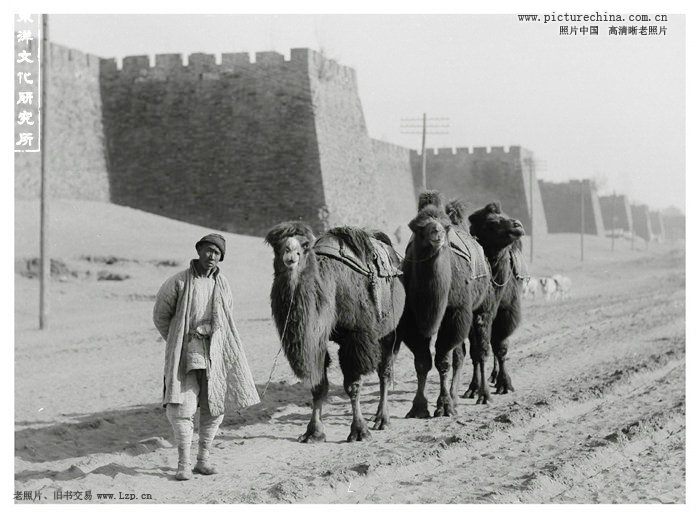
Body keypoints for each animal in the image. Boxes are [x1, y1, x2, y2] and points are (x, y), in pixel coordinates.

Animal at [264, 220, 404, 442]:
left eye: (305, 246)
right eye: (277, 245)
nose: (290, 254)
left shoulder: (355, 338)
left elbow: (352, 385)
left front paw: (359, 431)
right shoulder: (317, 340)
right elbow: (318, 386)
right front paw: (313, 432)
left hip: (390, 330)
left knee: (385, 371)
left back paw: (383, 419)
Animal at [396, 189, 494, 416]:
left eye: (445, 225)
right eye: (417, 226)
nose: (437, 233)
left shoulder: (455, 313)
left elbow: (443, 360)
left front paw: (444, 406)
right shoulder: (411, 319)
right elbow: (422, 362)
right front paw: (418, 407)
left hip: (482, 307)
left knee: (480, 351)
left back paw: (483, 395)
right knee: (461, 354)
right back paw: (456, 397)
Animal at [452, 201, 524, 396]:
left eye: (505, 216)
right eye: (491, 223)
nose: (518, 225)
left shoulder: (506, 312)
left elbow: (501, 347)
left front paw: (505, 384)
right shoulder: (477, 314)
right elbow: (476, 352)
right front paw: (474, 388)